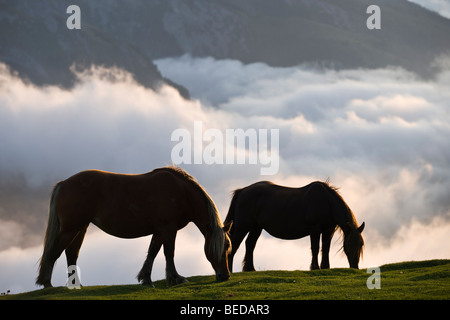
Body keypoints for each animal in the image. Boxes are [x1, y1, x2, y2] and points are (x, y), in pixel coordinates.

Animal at [36, 166, 232, 288]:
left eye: (228, 247)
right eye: (221, 248)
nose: (225, 276)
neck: (182, 193)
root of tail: (64, 183)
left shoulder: (160, 231)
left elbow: (152, 252)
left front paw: (146, 279)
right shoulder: (169, 229)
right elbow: (169, 252)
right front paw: (174, 278)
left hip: (80, 228)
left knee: (71, 253)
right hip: (70, 228)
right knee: (54, 252)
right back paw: (47, 284)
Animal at [223, 180, 364, 272]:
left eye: (361, 244)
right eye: (348, 245)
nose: (355, 266)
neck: (327, 202)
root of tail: (242, 191)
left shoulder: (328, 231)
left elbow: (325, 249)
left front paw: (325, 267)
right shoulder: (315, 230)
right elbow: (315, 248)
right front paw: (314, 267)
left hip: (256, 227)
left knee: (250, 244)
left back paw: (250, 269)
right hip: (242, 227)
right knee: (234, 244)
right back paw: (230, 271)